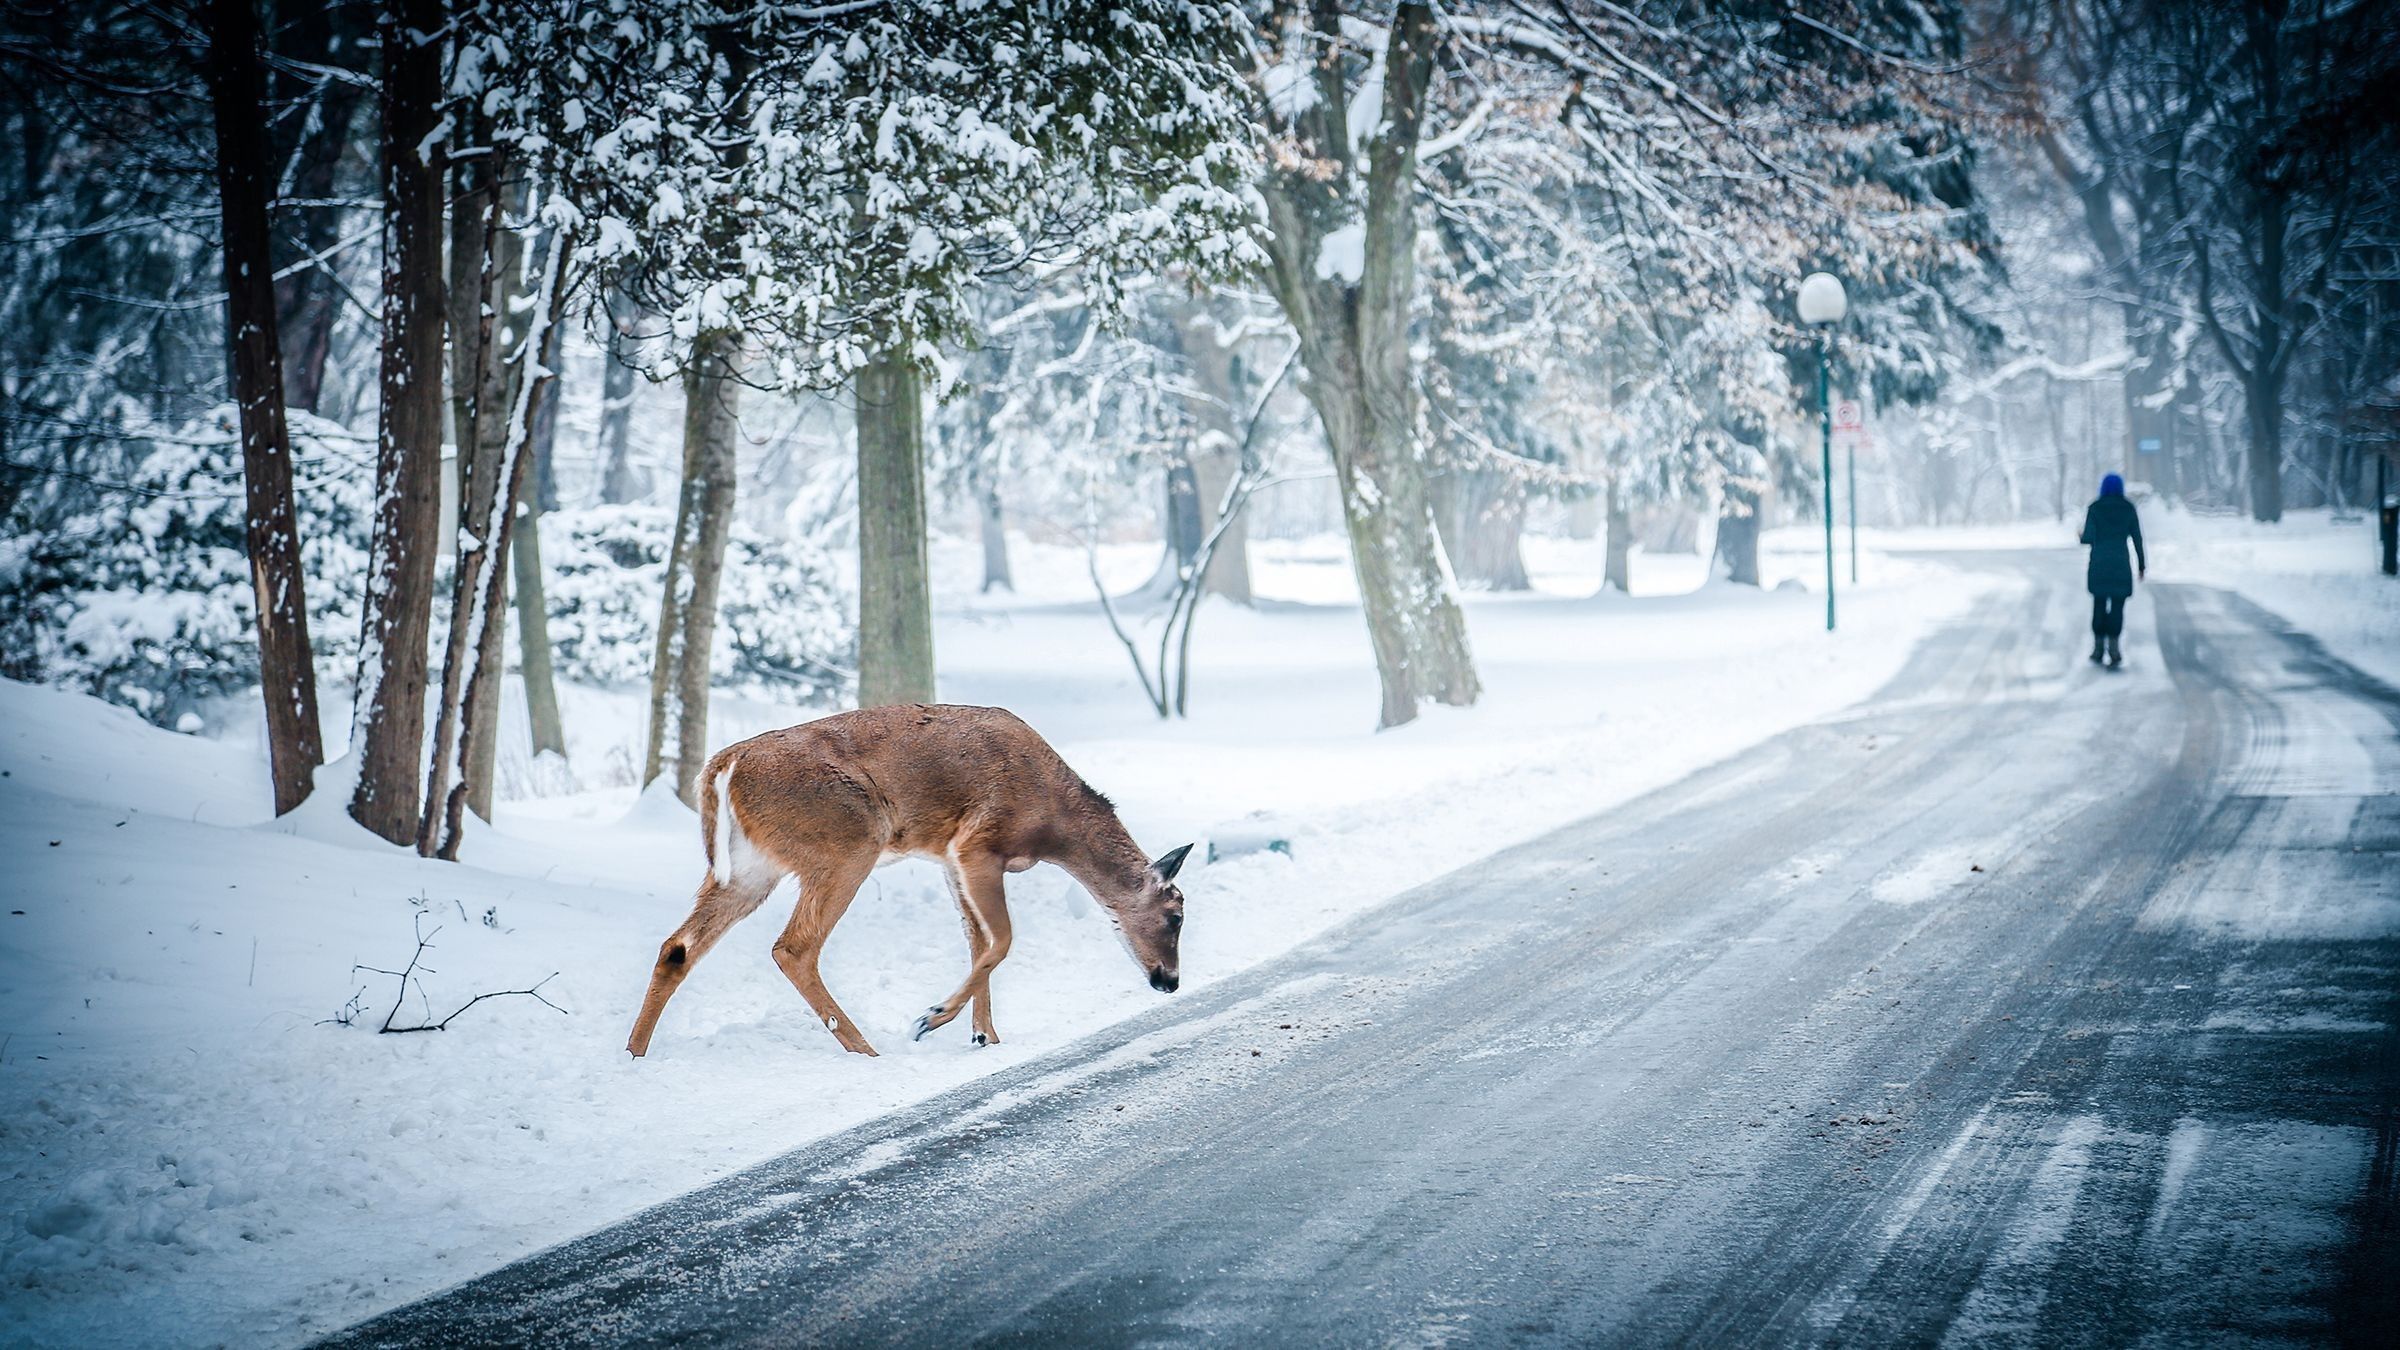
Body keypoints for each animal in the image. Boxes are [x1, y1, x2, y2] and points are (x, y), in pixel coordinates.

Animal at [626, 704, 1193, 1058]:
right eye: (1176, 915)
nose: (1169, 981)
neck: (1055, 823)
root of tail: (723, 767)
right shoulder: (977, 843)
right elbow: (1003, 940)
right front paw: (932, 1018)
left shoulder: (948, 858)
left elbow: (978, 942)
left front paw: (984, 1036)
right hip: (848, 840)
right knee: (794, 947)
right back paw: (867, 1049)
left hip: (751, 866)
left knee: (678, 947)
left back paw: (634, 1053)